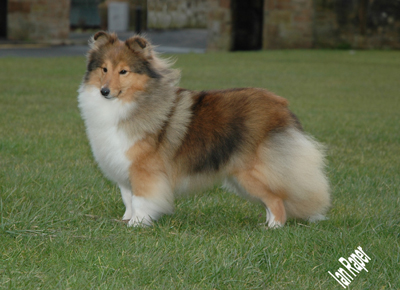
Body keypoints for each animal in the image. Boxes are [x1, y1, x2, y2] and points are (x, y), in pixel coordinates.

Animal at [78, 31, 332, 227]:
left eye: (123, 71)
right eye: (104, 69)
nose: (104, 91)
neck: (127, 103)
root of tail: (281, 106)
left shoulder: (144, 170)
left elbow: (141, 199)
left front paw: (138, 224)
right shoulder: (123, 170)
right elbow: (128, 199)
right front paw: (126, 221)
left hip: (251, 173)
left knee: (277, 200)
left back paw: (273, 227)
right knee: (272, 200)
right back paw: (267, 223)